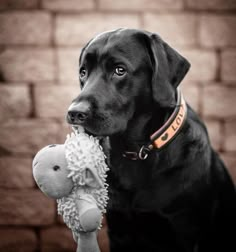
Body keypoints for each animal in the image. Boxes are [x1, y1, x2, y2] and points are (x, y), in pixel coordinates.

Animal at [66, 28, 236, 252]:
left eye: (119, 70)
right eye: (83, 72)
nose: (74, 113)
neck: (136, 150)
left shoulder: (185, 232)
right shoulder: (119, 230)